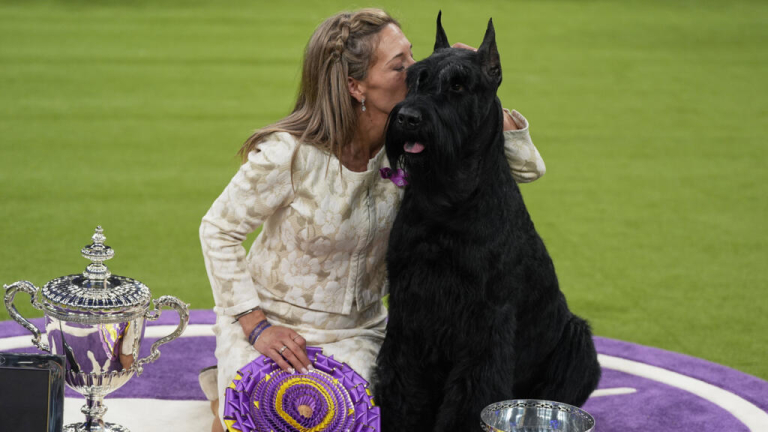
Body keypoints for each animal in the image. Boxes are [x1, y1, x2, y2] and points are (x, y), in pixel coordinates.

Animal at [372, 11, 600, 430]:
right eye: (415, 77)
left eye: (460, 84)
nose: (408, 118)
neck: (448, 199)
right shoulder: (410, 309)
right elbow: (402, 381)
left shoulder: (486, 320)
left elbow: (472, 390)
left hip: (578, 341)